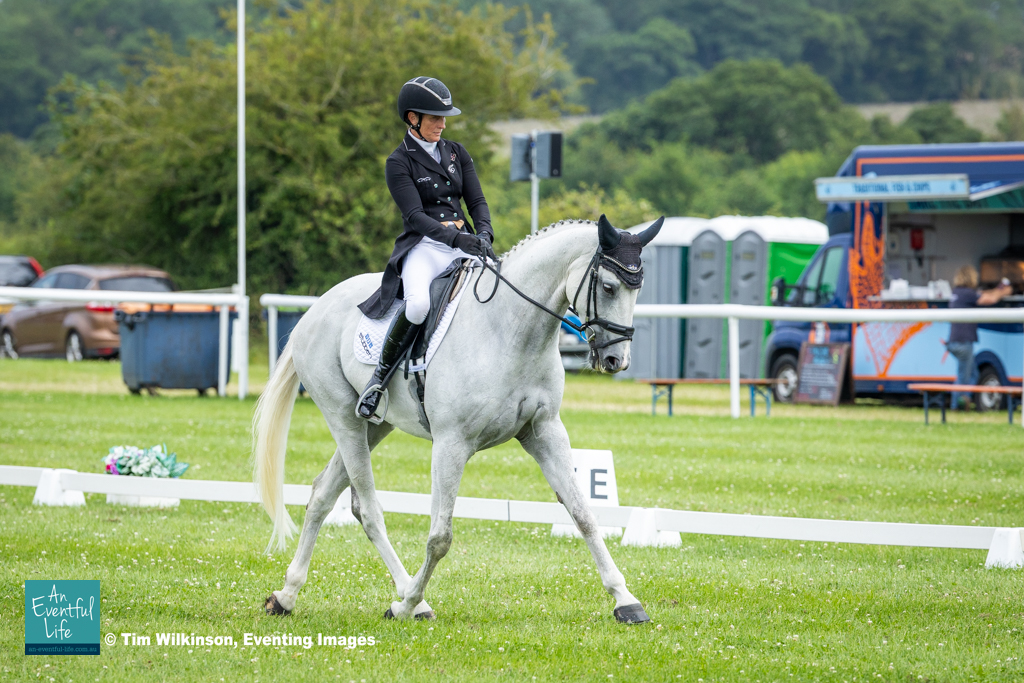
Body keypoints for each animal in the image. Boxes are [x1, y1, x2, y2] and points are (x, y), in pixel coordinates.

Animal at [252, 214, 664, 623]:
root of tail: (314, 310)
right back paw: (406, 601)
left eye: (638, 289)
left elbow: (584, 515)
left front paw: (625, 600)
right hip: (344, 419)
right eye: (608, 287)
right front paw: (408, 603)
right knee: (368, 510)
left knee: (323, 494)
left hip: (375, 426)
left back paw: (286, 595)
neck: (510, 329)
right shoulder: (451, 444)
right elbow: (440, 537)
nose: (616, 360)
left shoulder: (544, 432)